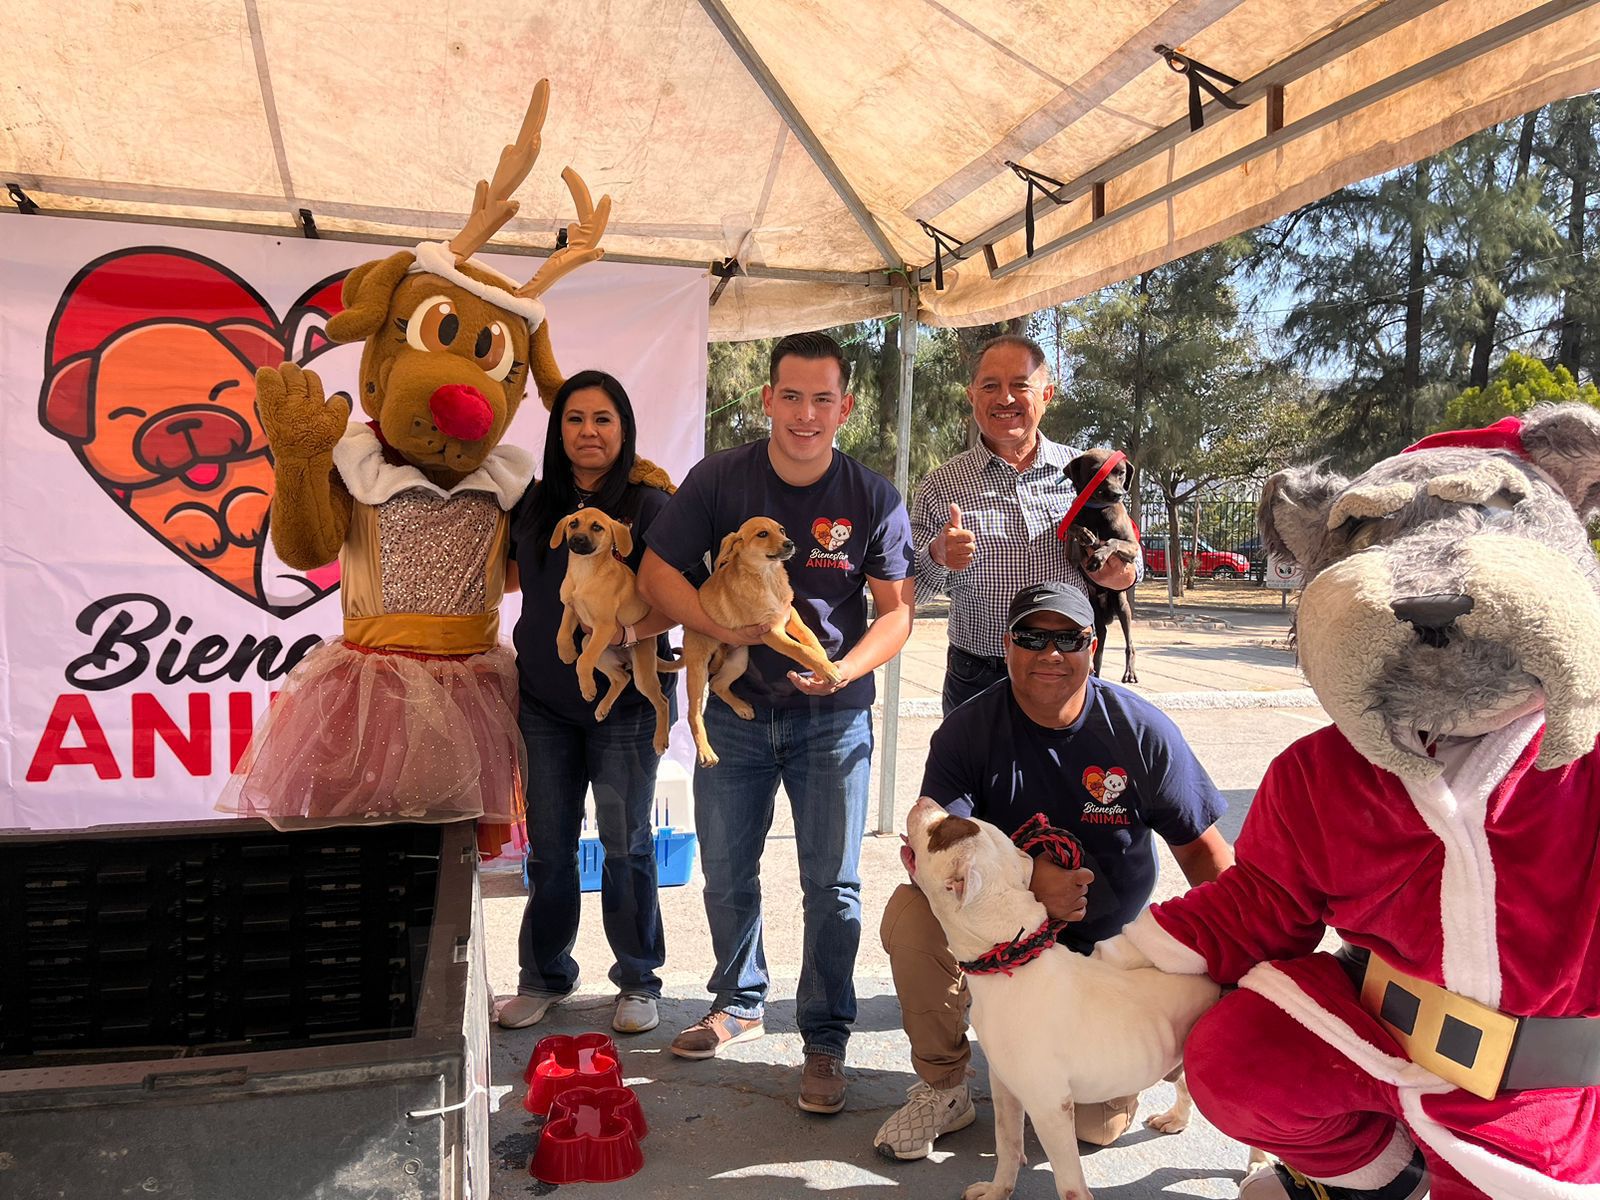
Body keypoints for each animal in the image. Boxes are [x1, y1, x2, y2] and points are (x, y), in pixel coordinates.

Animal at [550, 508, 675, 755]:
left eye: (597, 527)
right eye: (573, 524)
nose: (577, 540)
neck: (585, 572)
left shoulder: (605, 627)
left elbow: (583, 662)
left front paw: (587, 689)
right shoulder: (571, 608)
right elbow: (561, 634)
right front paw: (566, 653)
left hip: (642, 673)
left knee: (661, 701)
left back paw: (660, 740)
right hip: (591, 643)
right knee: (621, 677)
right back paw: (603, 708)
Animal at [681, 518, 844, 771]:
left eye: (782, 530)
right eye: (762, 534)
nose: (790, 543)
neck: (768, 577)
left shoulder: (789, 614)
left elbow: (809, 637)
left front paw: (823, 661)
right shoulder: (770, 632)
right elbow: (799, 649)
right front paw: (824, 668)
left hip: (739, 659)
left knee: (718, 684)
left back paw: (741, 707)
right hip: (698, 669)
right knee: (694, 712)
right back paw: (706, 752)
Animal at [1062, 448, 1139, 681]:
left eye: (1121, 473)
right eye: (1096, 472)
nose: (1118, 494)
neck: (1097, 510)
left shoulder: (1133, 547)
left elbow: (1113, 541)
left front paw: (1099, 556)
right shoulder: (1071, 554)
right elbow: (1073, 528)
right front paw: (1085, 534)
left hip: (1122, 606)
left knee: (1129, 644)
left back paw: (1129, 672)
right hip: (1094, 617)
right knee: (1098, 648)